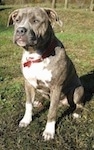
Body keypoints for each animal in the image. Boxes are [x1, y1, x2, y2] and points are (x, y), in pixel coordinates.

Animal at [7, 7, 84, 141]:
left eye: (36, 21)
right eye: (17, 20)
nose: (20, 30)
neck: (36, 56)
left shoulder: (56, 87)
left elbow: (52, 111)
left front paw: (49, 132)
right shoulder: (28, 83)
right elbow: (28, 104)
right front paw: (26, 120)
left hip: (78, 90)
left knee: (79, 104)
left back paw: (76, 113)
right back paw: (39, 101)